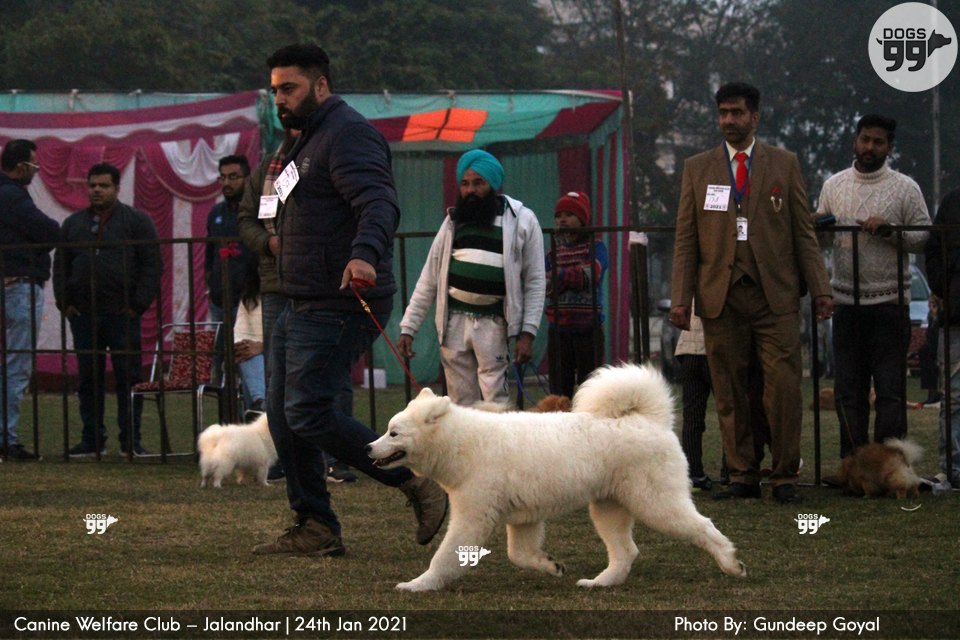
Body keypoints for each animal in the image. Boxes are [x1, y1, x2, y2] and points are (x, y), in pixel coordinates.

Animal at [366, 363, 746, 591]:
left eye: (394, 433)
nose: (369, 448)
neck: (464, 443)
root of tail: (650, 420)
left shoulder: (472, 518)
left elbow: (444, 557)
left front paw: (419, 584)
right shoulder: (523, 520)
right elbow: (519, 555)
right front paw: (550, 566)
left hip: (657, 504)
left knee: (703, 527)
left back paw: (731, 563)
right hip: (608, 509)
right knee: (626, 551)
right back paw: (600, 582)